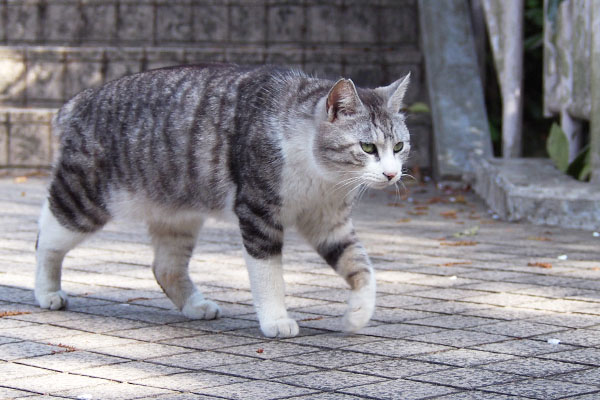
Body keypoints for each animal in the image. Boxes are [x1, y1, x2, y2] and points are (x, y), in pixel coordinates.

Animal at [35, 63, 410, 338]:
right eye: (367, 147)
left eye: (399, 146)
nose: (391, 174)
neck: (322, 178)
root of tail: (79, 101)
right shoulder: (258, 212)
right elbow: (268, 275)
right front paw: (276, 320)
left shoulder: (328, 220)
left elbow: (359, 265)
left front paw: (357, 314)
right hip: (84, 196)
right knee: (46, 238)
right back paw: (46, 292)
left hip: (177, 215)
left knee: (165, 267)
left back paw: (196, 306)